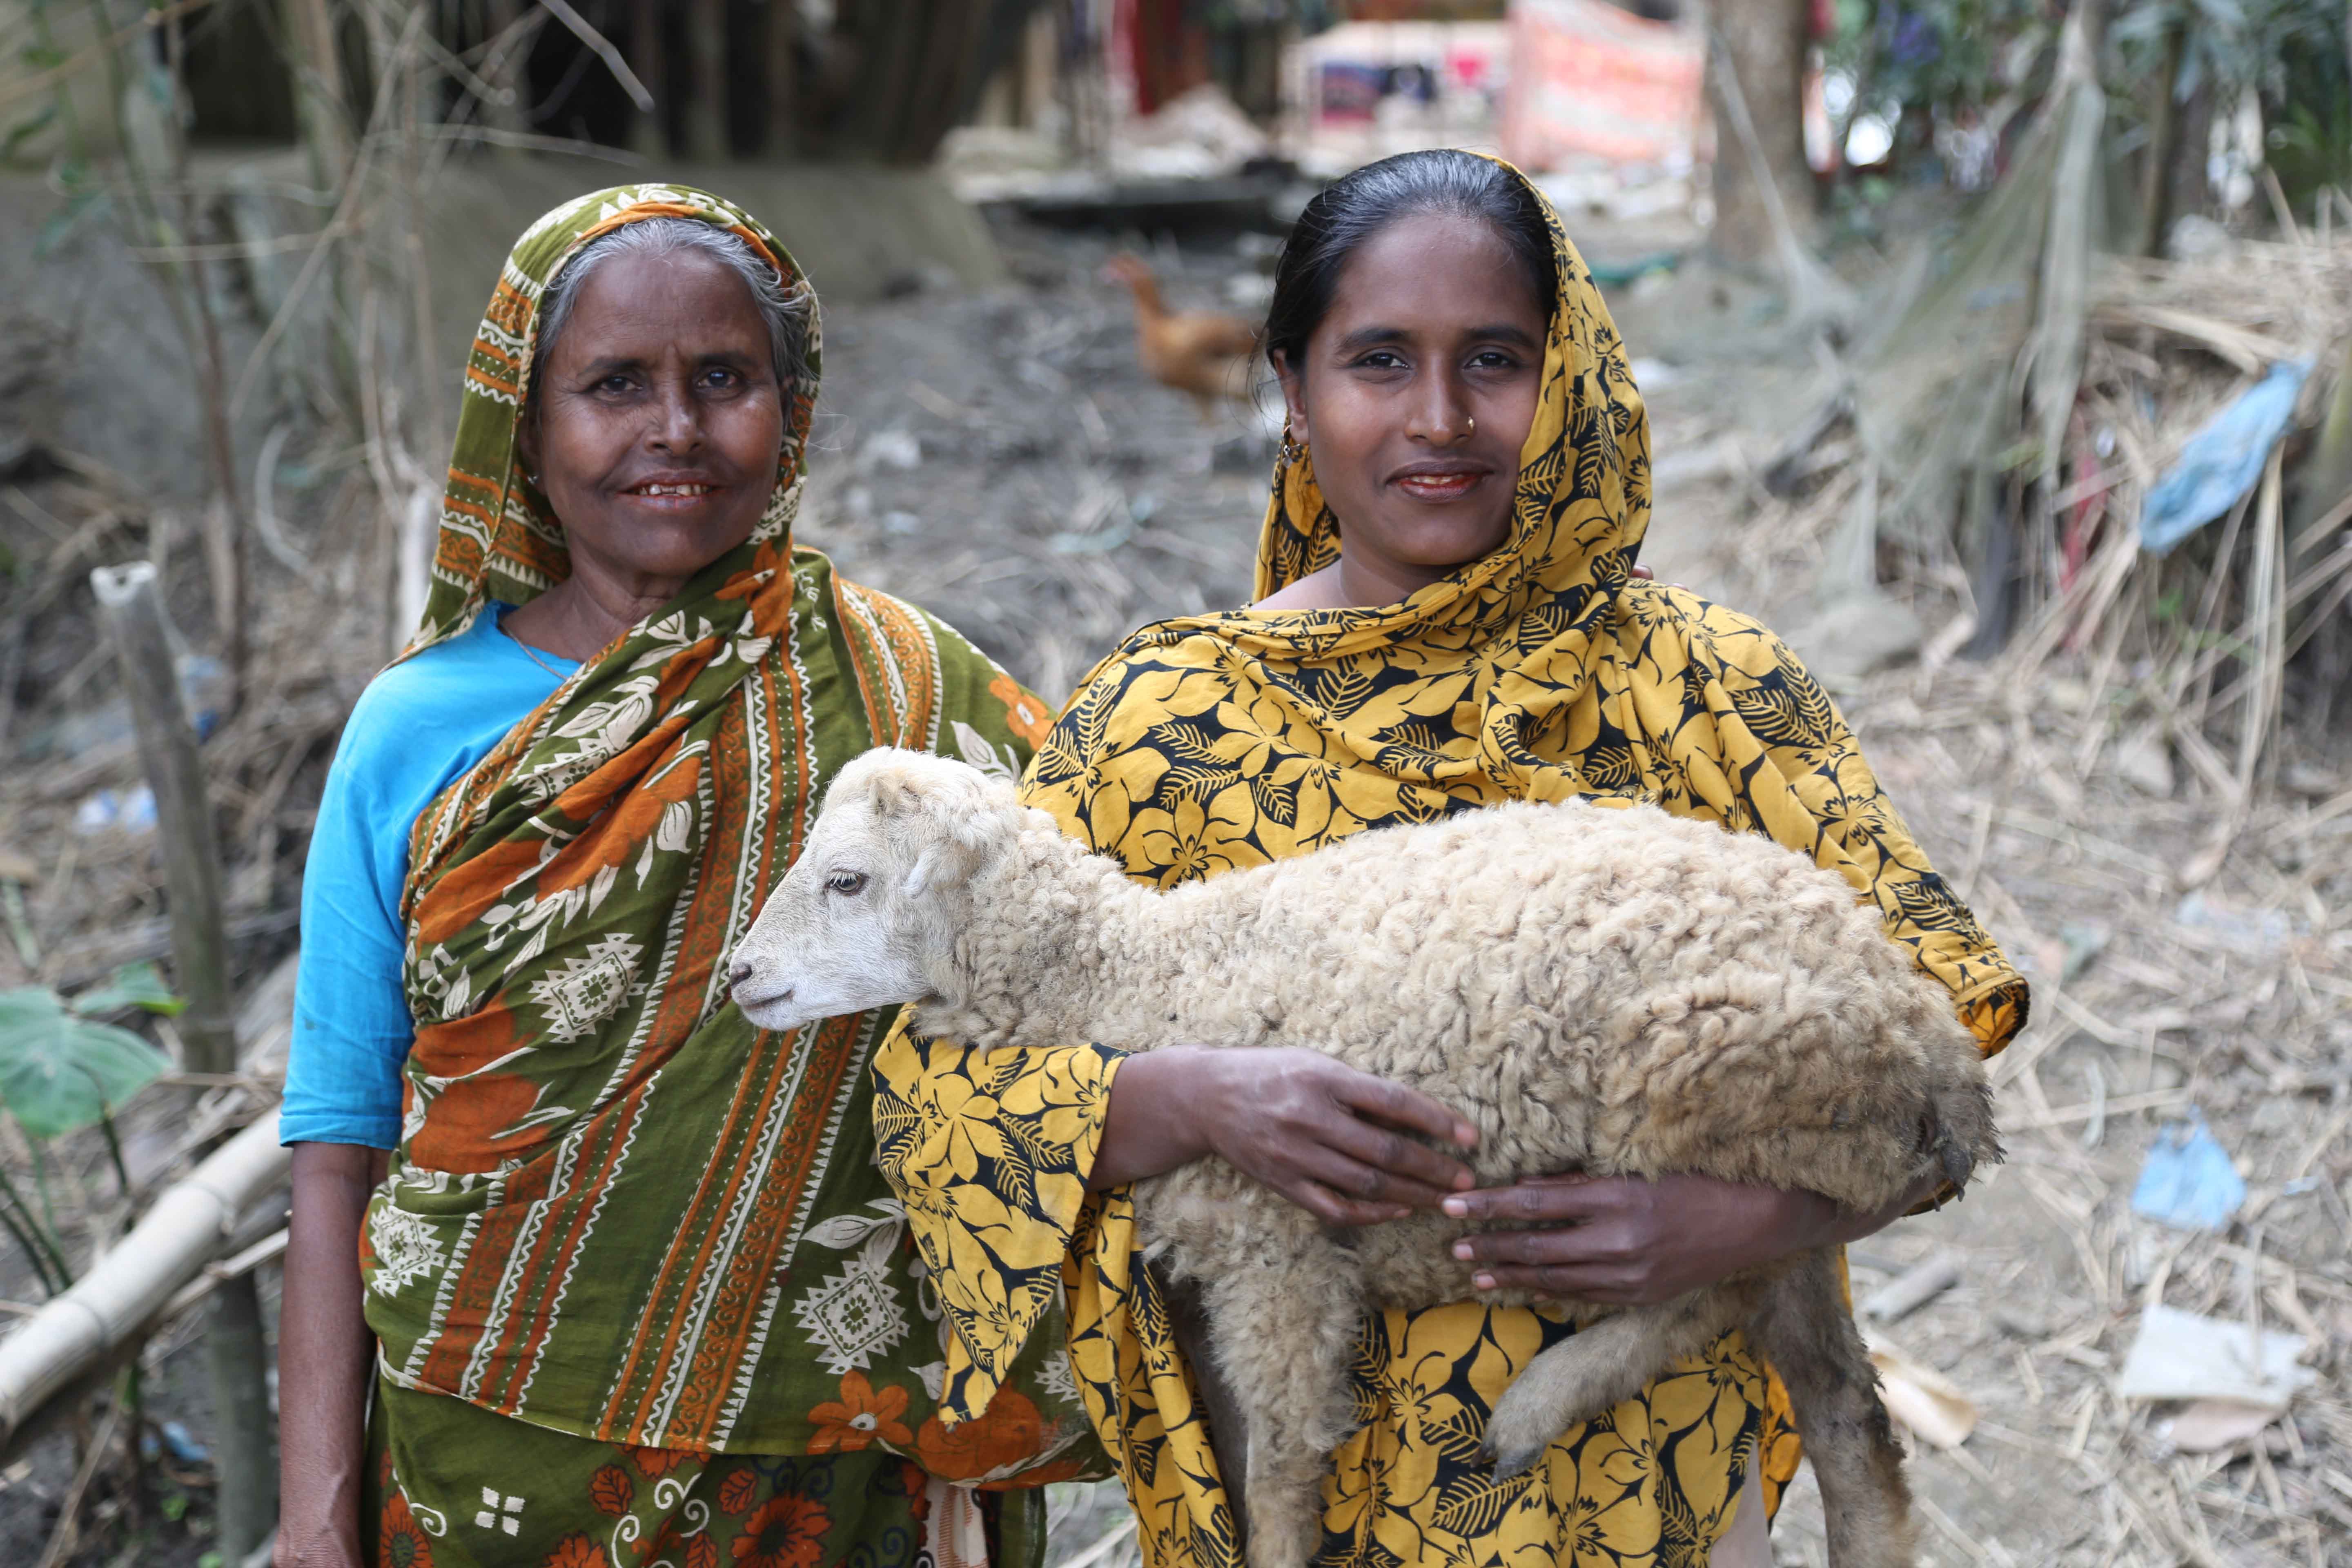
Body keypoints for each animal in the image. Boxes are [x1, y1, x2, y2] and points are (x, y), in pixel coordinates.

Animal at [724, 747, 1994, 1568]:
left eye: (847, 879)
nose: (739, 976)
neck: (1139, 973)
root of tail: (1937, 1048)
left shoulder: (1278, 1253)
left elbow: (1283, 1471)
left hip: (1709, 1091)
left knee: (1715, 1277)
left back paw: (1535, 1402)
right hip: (1805, 1151)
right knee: (1845, 1409)